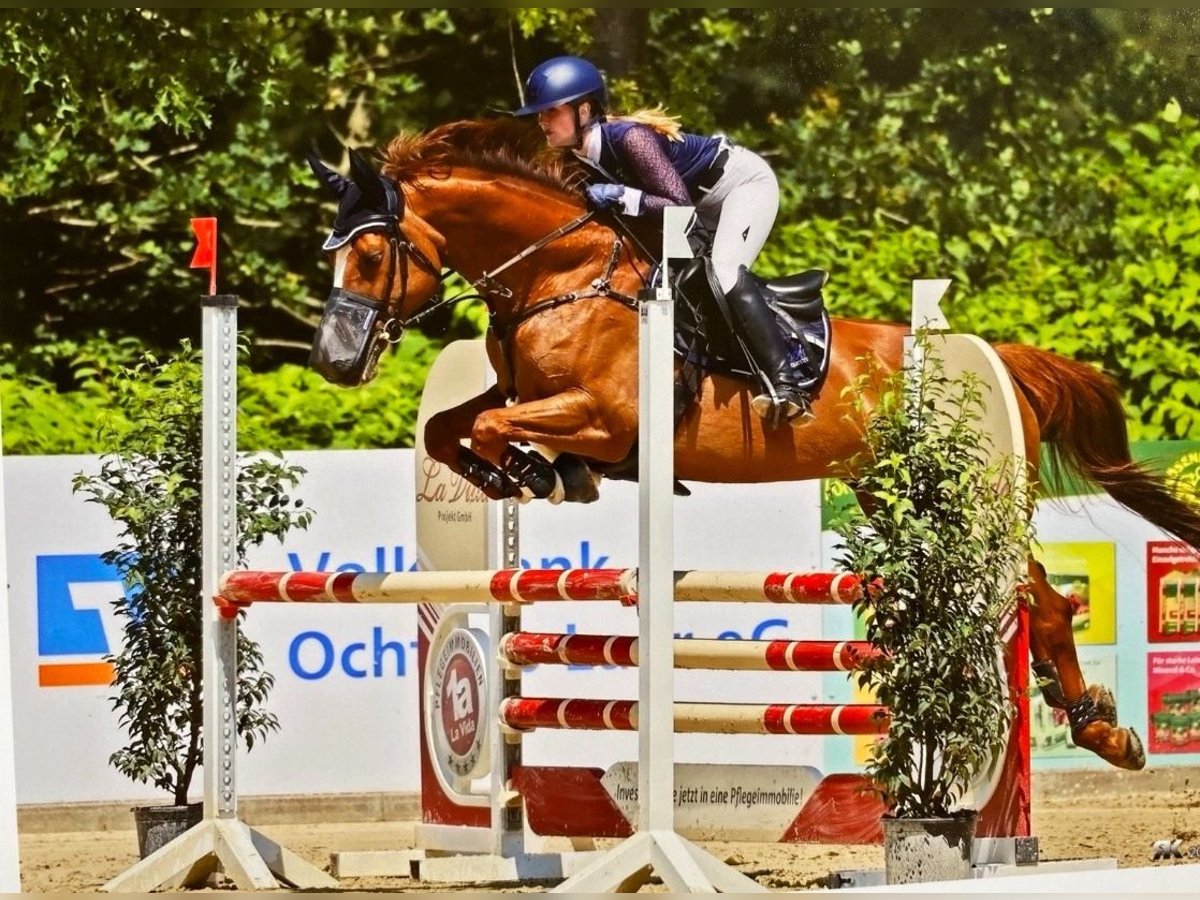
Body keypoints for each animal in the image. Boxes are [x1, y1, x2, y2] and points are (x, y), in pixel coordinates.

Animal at [307, 118, 1200, 777]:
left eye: (373, 253)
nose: (335, 363)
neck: (559, 272)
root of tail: (996, 357)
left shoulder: (605, 417)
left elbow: (501, 429)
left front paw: (543, 472)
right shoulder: (522, 392)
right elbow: (448, 428)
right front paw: (514, 475)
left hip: (961, 498)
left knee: (1030, 593)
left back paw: (1093, 731)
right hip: (897, 495)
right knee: (1040, 595)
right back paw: (1099, 728)